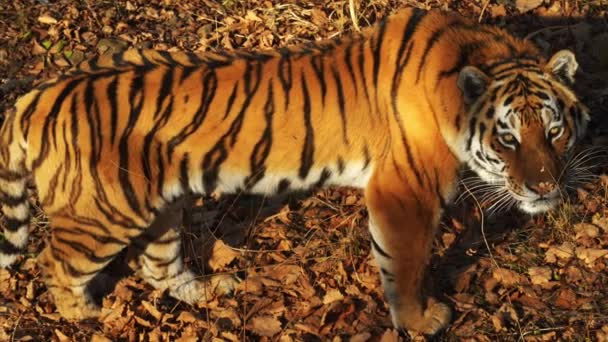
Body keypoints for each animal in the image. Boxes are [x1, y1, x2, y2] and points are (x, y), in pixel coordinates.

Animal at [0, 6, 588, 336]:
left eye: (554, 130)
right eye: (507, 137)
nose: (544, 187)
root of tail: (34, 97)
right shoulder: (405, 192)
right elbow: (405, 264)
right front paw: (420, 323)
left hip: (160, 206)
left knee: (158, 266)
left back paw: (209, 290)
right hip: (102, 211)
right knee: (55, 262)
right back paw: (85, 316)